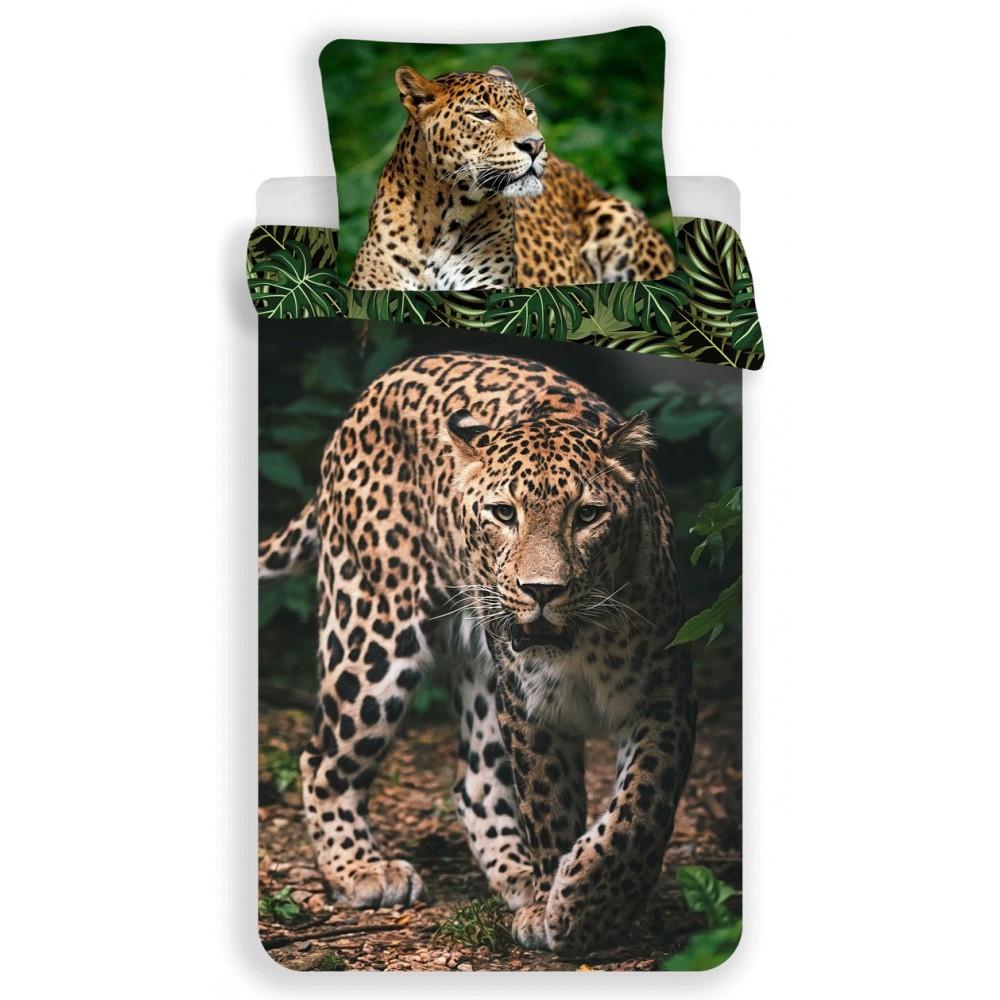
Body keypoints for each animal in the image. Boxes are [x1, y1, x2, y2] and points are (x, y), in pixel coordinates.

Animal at [258, 352, 696, 955]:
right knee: (322, 757)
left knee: (476, 783)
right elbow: (550, 806)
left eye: (587, 515)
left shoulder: (664, 697)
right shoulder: (530, 708)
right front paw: (562, 906)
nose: (541, 591)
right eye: (503, 513)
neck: (581, 643)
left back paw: (517, 876)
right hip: (372, 632)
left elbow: (641, 808)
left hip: (479, 672)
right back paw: (361, 869)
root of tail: (372, 391)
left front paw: (588, 902)